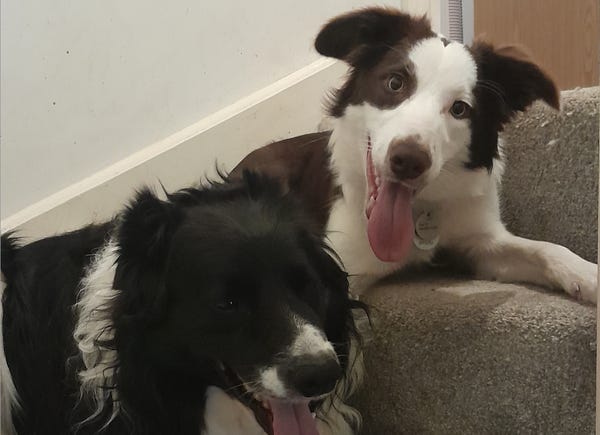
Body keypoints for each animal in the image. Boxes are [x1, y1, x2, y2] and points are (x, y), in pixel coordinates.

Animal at [231, 7, 597, 303]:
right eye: (395, 83)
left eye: (460, 109)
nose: (408, 161)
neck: (417, 210)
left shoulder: (480, 242)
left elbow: (543, 249)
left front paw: (588, 275)